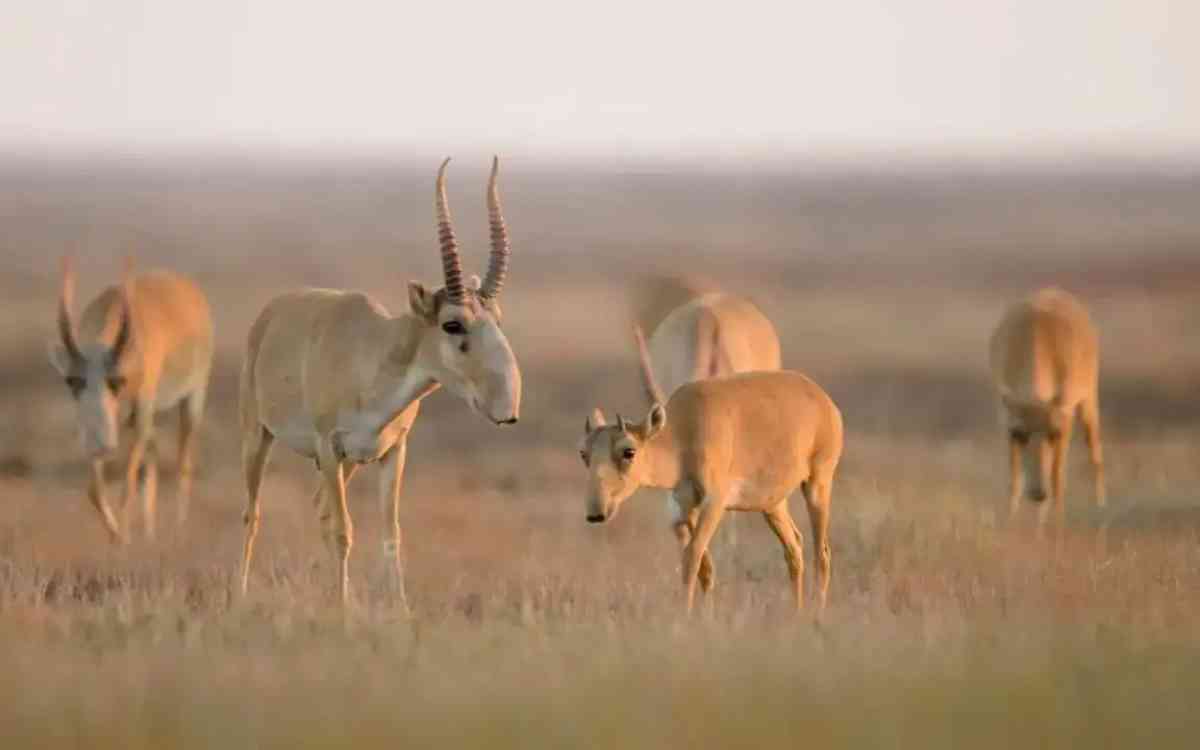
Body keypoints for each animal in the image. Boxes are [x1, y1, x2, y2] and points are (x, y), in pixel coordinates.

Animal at [48, 260, 216, 540]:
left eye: (118, 381)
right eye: (72, 380)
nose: (101, 445)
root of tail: (190, 289)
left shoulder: (139, 416)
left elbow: (127, 482)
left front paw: (123, 539)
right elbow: (95, 490)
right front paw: (118, 534)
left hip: (191, 400)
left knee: (183, 462)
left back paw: (179, 528)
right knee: (153, 453)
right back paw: (150, 533)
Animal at [241, 158, 523, 609]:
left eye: (496, 318)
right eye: (452, 323)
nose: (507, 406)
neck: (373, 357)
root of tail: (271, 312)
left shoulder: (391, 453)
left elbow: (391, 534)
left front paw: (399, 611)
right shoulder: (329, 447)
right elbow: (343, 531)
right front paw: (342, 611)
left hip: (348, 464)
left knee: (319, 507)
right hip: (259, 436)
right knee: (252, 513)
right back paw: (240, 594)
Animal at [578, 369, 844, 609]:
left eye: (629, 451)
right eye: (584, 453)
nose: (596, 513)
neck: (683, 431)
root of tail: (824, 401)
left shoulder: (714, 503)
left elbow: (692, 557)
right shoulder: (687, 507)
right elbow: (704, 568)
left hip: (817, 485)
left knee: (822, 555)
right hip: (772, 505)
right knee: (794, 549)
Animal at [984, 283, 1104, 530]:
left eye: (1053, 433)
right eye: (1020, 433)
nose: (1038, 493)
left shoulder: (1065, 422)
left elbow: (1057, 478)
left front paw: (1057, 528)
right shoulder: (1007, 425)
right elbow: (1014, 480)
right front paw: (1010, 526)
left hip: (1089, 403)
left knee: (1095, 456)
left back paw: (1100, 509)